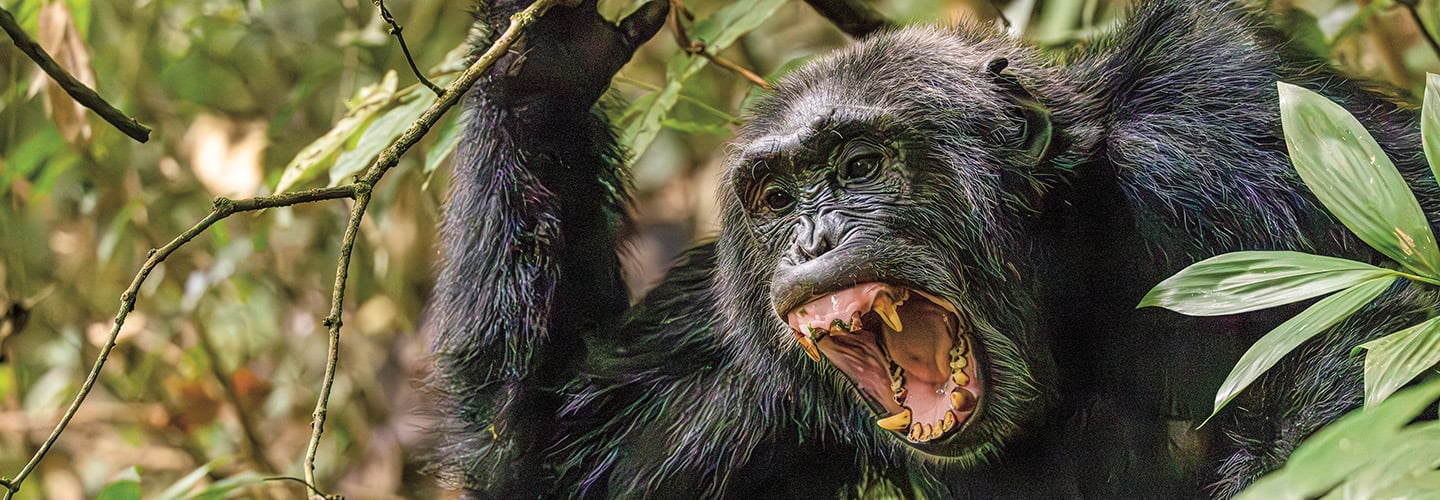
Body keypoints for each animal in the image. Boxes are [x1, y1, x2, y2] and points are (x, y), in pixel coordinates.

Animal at [424, 0, 1438, 496]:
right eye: (777, 197)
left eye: (861, 165)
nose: (814, 235)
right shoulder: (724, 346)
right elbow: (553, 455)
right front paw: (541, 53)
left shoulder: (1217, 117)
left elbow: (1390, 314)